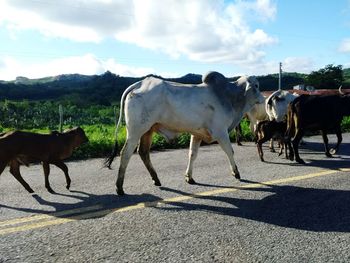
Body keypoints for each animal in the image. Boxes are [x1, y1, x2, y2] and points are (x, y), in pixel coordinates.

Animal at [105, 72, 264, 196]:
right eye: (256, 85)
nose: (263, 99)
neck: (229, 96)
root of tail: (140, 83)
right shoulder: (221, 132)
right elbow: (230, 151)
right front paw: (236, 172)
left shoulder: (197, 134)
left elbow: (192, 154)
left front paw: (189, 177)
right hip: (135, 131)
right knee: (125, 154)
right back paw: (119, 187)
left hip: (147, 131)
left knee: (143, 152)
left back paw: (156, 179)